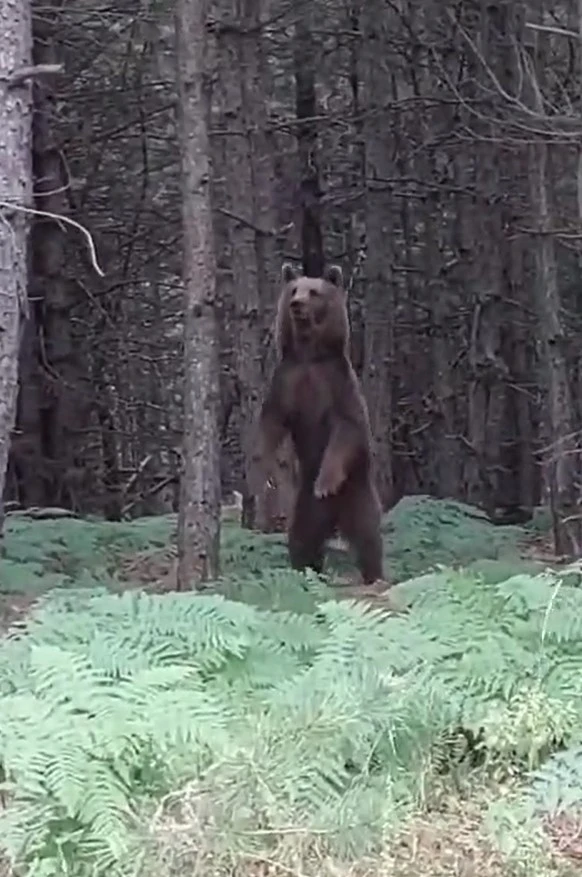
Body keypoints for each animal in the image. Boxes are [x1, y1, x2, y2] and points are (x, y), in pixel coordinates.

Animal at [249, 264, 386, 584]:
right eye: (293, 289)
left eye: (314, 292)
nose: (296, 304)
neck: (309, 355)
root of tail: (333, 518)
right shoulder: (286, 381)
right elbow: (271, 423)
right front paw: (264, 467)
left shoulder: (336, 384)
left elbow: (346, 430)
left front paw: (324, 483)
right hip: (304, 509)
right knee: (301, 541)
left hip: (358, 493)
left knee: (369, 538)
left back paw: (375, 576)